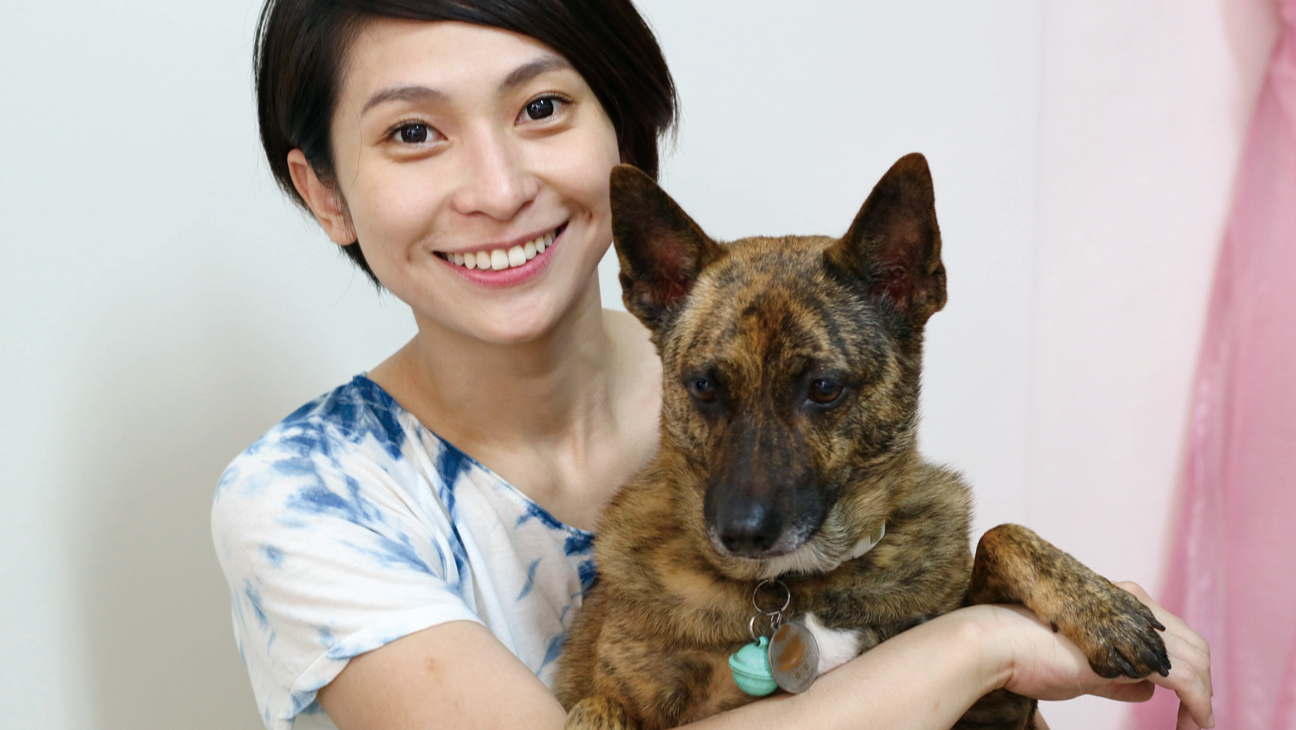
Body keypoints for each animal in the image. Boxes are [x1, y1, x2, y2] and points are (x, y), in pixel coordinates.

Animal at [554, 154, 1170, 730]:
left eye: (824, 388)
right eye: (704, 386)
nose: (741, 534)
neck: (792, 588)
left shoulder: (994, 707)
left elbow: (1002, 535)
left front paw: (1103, 609)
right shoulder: (616, 698)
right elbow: (596, 708)